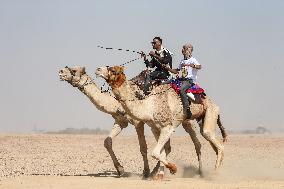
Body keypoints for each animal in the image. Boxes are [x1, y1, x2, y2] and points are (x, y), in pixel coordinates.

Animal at [58, 65, 204, 178]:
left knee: (196, 143)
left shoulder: (137, 121)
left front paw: (145, 171)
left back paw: (199, 172)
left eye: (73, 70)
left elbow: (143, 147)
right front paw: (120, 170)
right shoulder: (120, 121)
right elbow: (107, 141)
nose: (60, 71)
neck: (115, 103)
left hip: (185, 119)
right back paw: (158, 172)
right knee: (167, 146)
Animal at [96, 65, 227, 173]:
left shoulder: (168, 127)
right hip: (202, 118)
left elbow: (155, 152)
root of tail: (214, 104)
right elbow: (161, 151)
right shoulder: (155, 128)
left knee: (216, 143)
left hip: (210, 112)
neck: (149, 106)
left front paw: (172, 168)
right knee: (209, 142)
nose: (98, 69)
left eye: (113, 70)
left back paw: (215, 172)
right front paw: (161, 173)